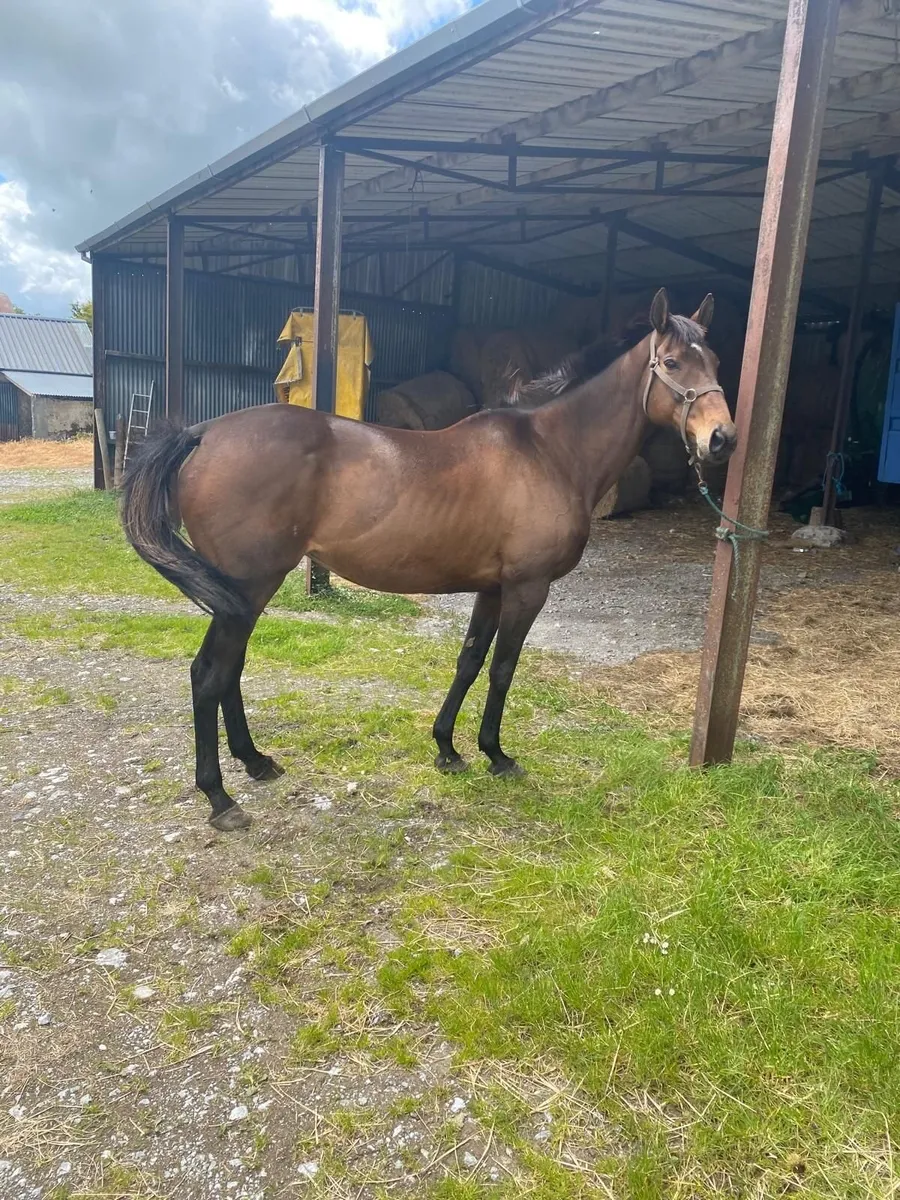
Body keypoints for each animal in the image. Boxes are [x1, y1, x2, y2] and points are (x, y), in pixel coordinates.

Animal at [122, 288, 736, 832]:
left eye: (715, 361)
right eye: (673, 363)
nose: (722, 439)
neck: (548, 451)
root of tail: (203, 433)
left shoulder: (493, 588)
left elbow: (469, 661)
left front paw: (448, 749)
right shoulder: (528, 587)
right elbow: (503, 668)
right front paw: (497, 755)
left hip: (243, 595)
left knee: (230, 671)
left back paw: (256, 763)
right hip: (248, 587)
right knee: (210, 674)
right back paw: (220, 798)